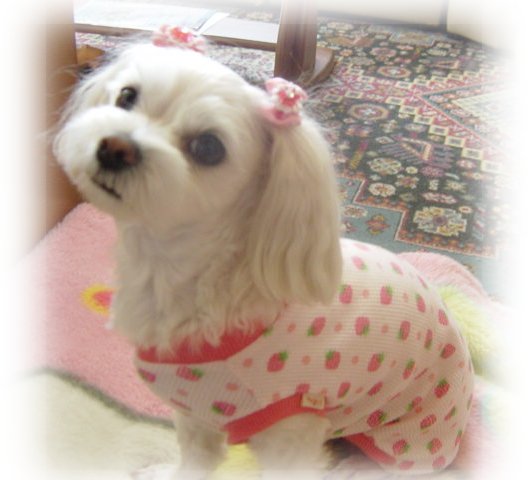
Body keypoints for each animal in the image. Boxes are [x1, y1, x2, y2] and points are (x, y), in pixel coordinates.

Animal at [55, 28, 473, 479]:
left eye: (208, 147)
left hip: (405, 439)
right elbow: (195, 459)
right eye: (127, 96)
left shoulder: (290, 429)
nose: (115, 148)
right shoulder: (195, 412)